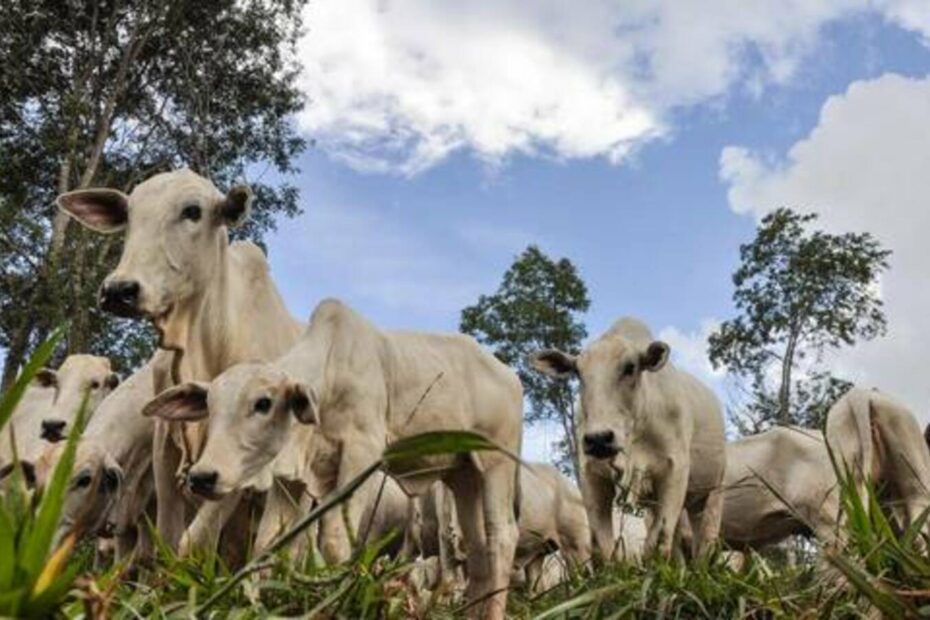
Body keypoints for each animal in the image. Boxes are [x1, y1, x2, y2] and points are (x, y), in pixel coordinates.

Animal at [56, 168, 302, 556]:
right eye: (130, 214)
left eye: (192, 211)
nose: (119, 290)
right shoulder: (165, 447)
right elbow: (169, 537)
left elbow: (196, 539)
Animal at [142, 298, 524, 616]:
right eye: (209, 405)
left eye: (263, 403)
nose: (203, 477)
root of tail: (509, 374)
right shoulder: (292, 477)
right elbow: (269, 543)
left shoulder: (362, 455)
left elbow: (336, 540)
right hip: (462, 475)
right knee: (477, 547)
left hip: (496, 463)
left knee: (502, 536)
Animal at [528, 318, 724, 560]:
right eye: (578, 373)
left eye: (630, 367)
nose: (599, 439)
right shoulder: (592, 476)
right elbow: (603, 545)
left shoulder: (675, 470)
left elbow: (658, 542)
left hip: (712, 492)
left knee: (705, 540)